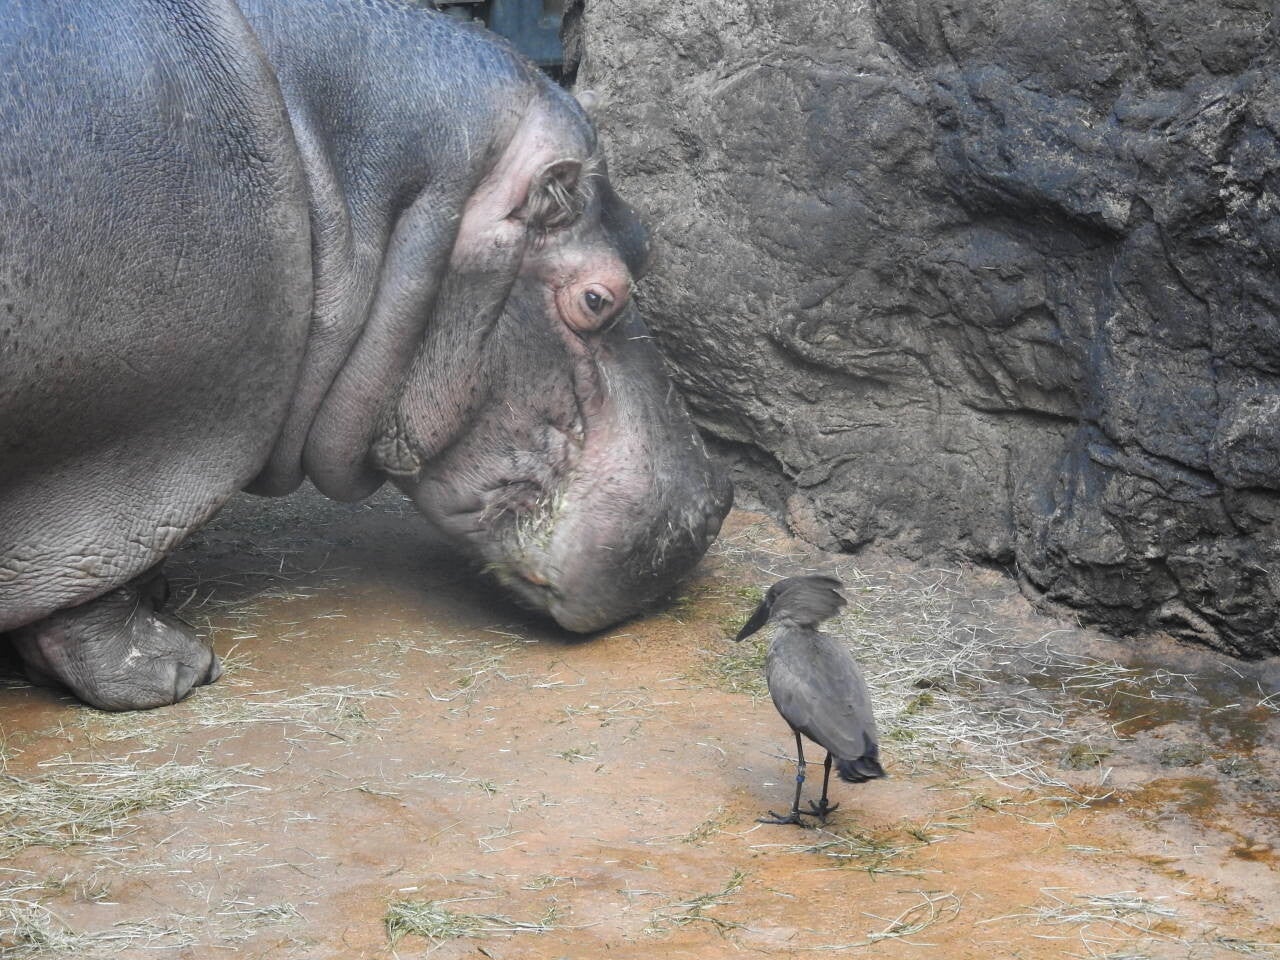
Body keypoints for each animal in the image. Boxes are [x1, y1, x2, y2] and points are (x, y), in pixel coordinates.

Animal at [0, 0, 732, 711]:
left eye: (647, 239)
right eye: (596, 298)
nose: (716, 503)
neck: (332, 162)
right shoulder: (128, 440)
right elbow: (96, 555)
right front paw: (172, 670)